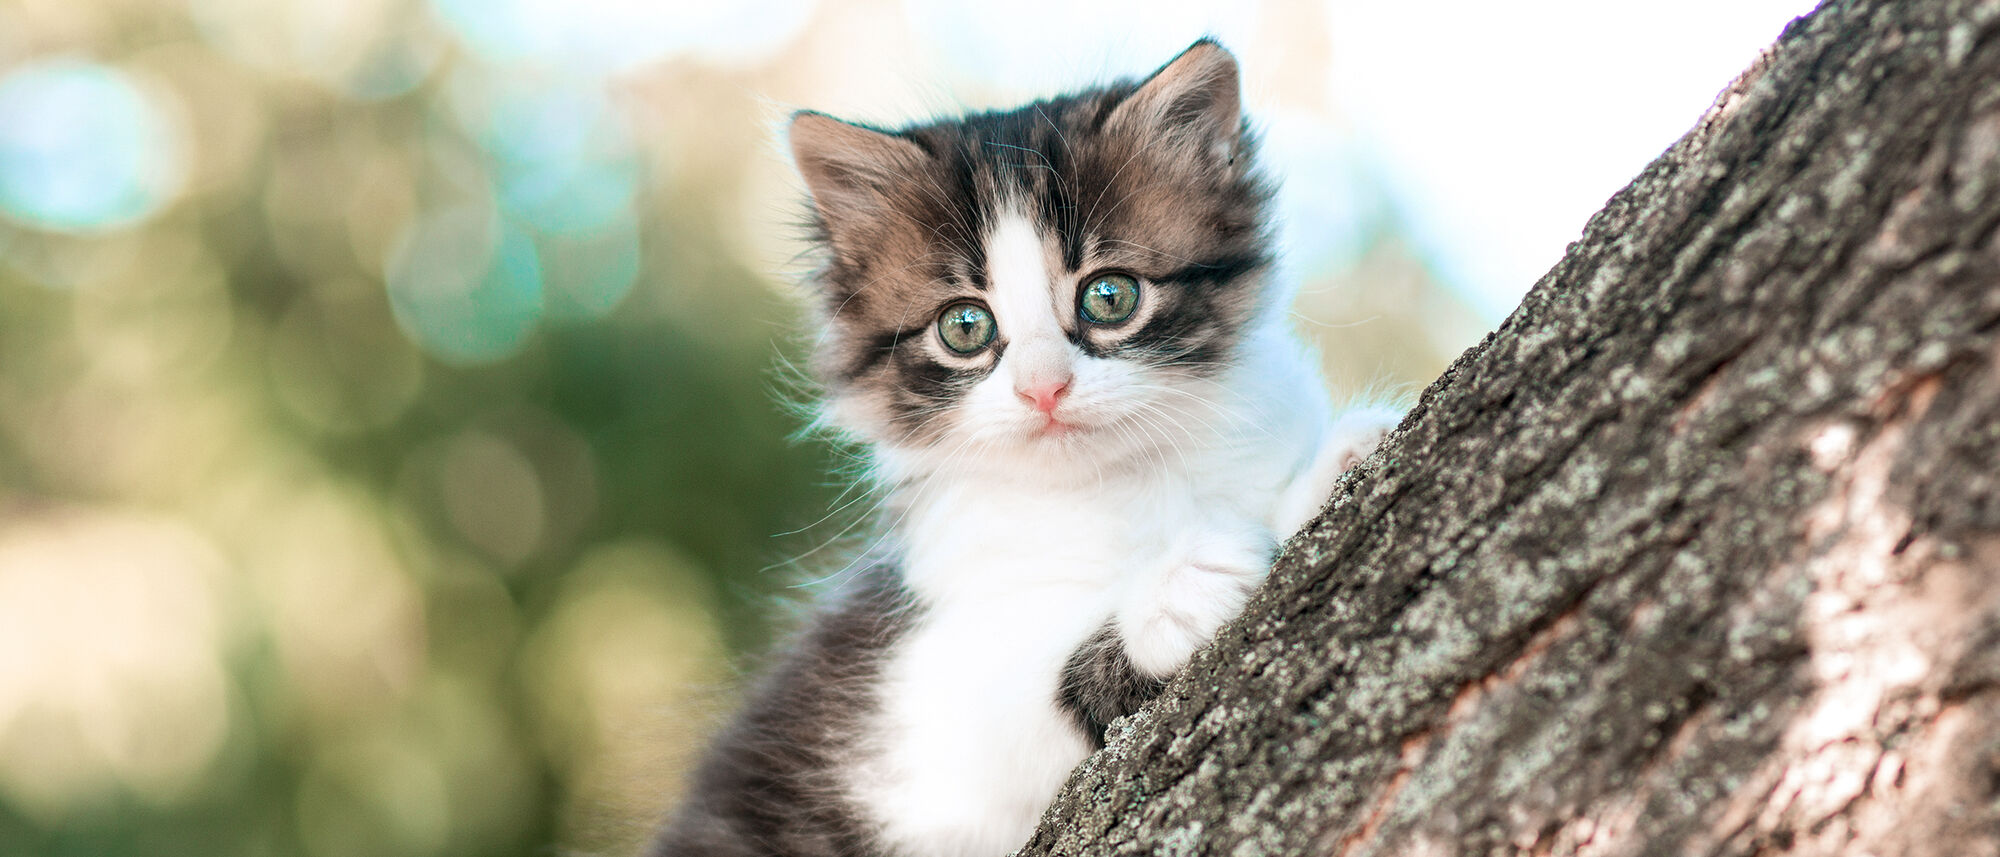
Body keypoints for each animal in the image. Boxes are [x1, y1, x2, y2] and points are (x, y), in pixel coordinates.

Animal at [648, 40, 1400, 857]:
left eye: (1110, 297)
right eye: (964, 327)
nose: (1044, 387)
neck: (1123, 485)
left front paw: (1337, 466)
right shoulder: (901, 725)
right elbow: (1017, 689)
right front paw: (1180, 587)